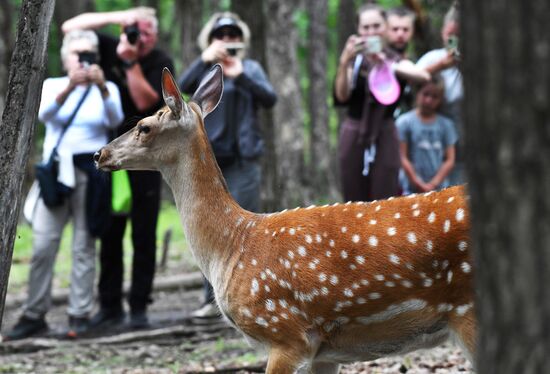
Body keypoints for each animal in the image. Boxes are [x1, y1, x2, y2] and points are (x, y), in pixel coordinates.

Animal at [94, 67, 474, 374]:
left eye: (143, 126)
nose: (99, 154)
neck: (231, 246)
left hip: (469, 310)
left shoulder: (286, 333)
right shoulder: (326, 353)